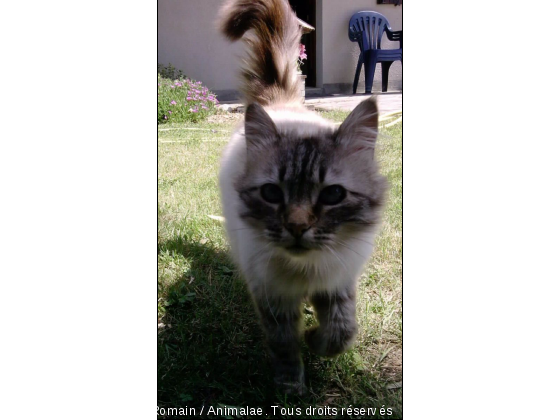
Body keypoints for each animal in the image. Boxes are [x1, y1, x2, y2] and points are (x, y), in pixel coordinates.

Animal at [218, 0, 384, 396]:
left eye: (333, 195)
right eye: (272, 193)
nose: (296, 227)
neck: (305, 271)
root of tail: (283, 105)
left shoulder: (339, 283)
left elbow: (341, 332)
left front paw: (314, 339)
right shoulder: (272, 296)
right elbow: (284, 345)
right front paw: (291, 385)